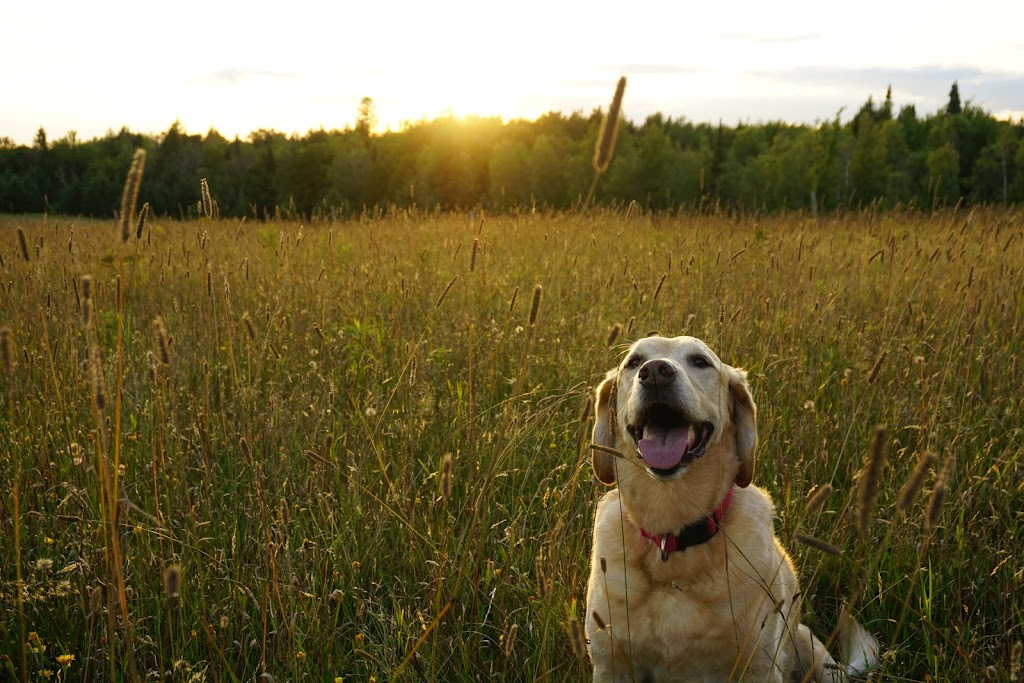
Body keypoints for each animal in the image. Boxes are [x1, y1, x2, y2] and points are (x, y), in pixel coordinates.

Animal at [585, 335, 880, 683]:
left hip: (812, 651)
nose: (656, 372)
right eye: (633, 362)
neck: (673, 539)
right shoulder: (610, 664)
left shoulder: (758, 666)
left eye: (700, 361)